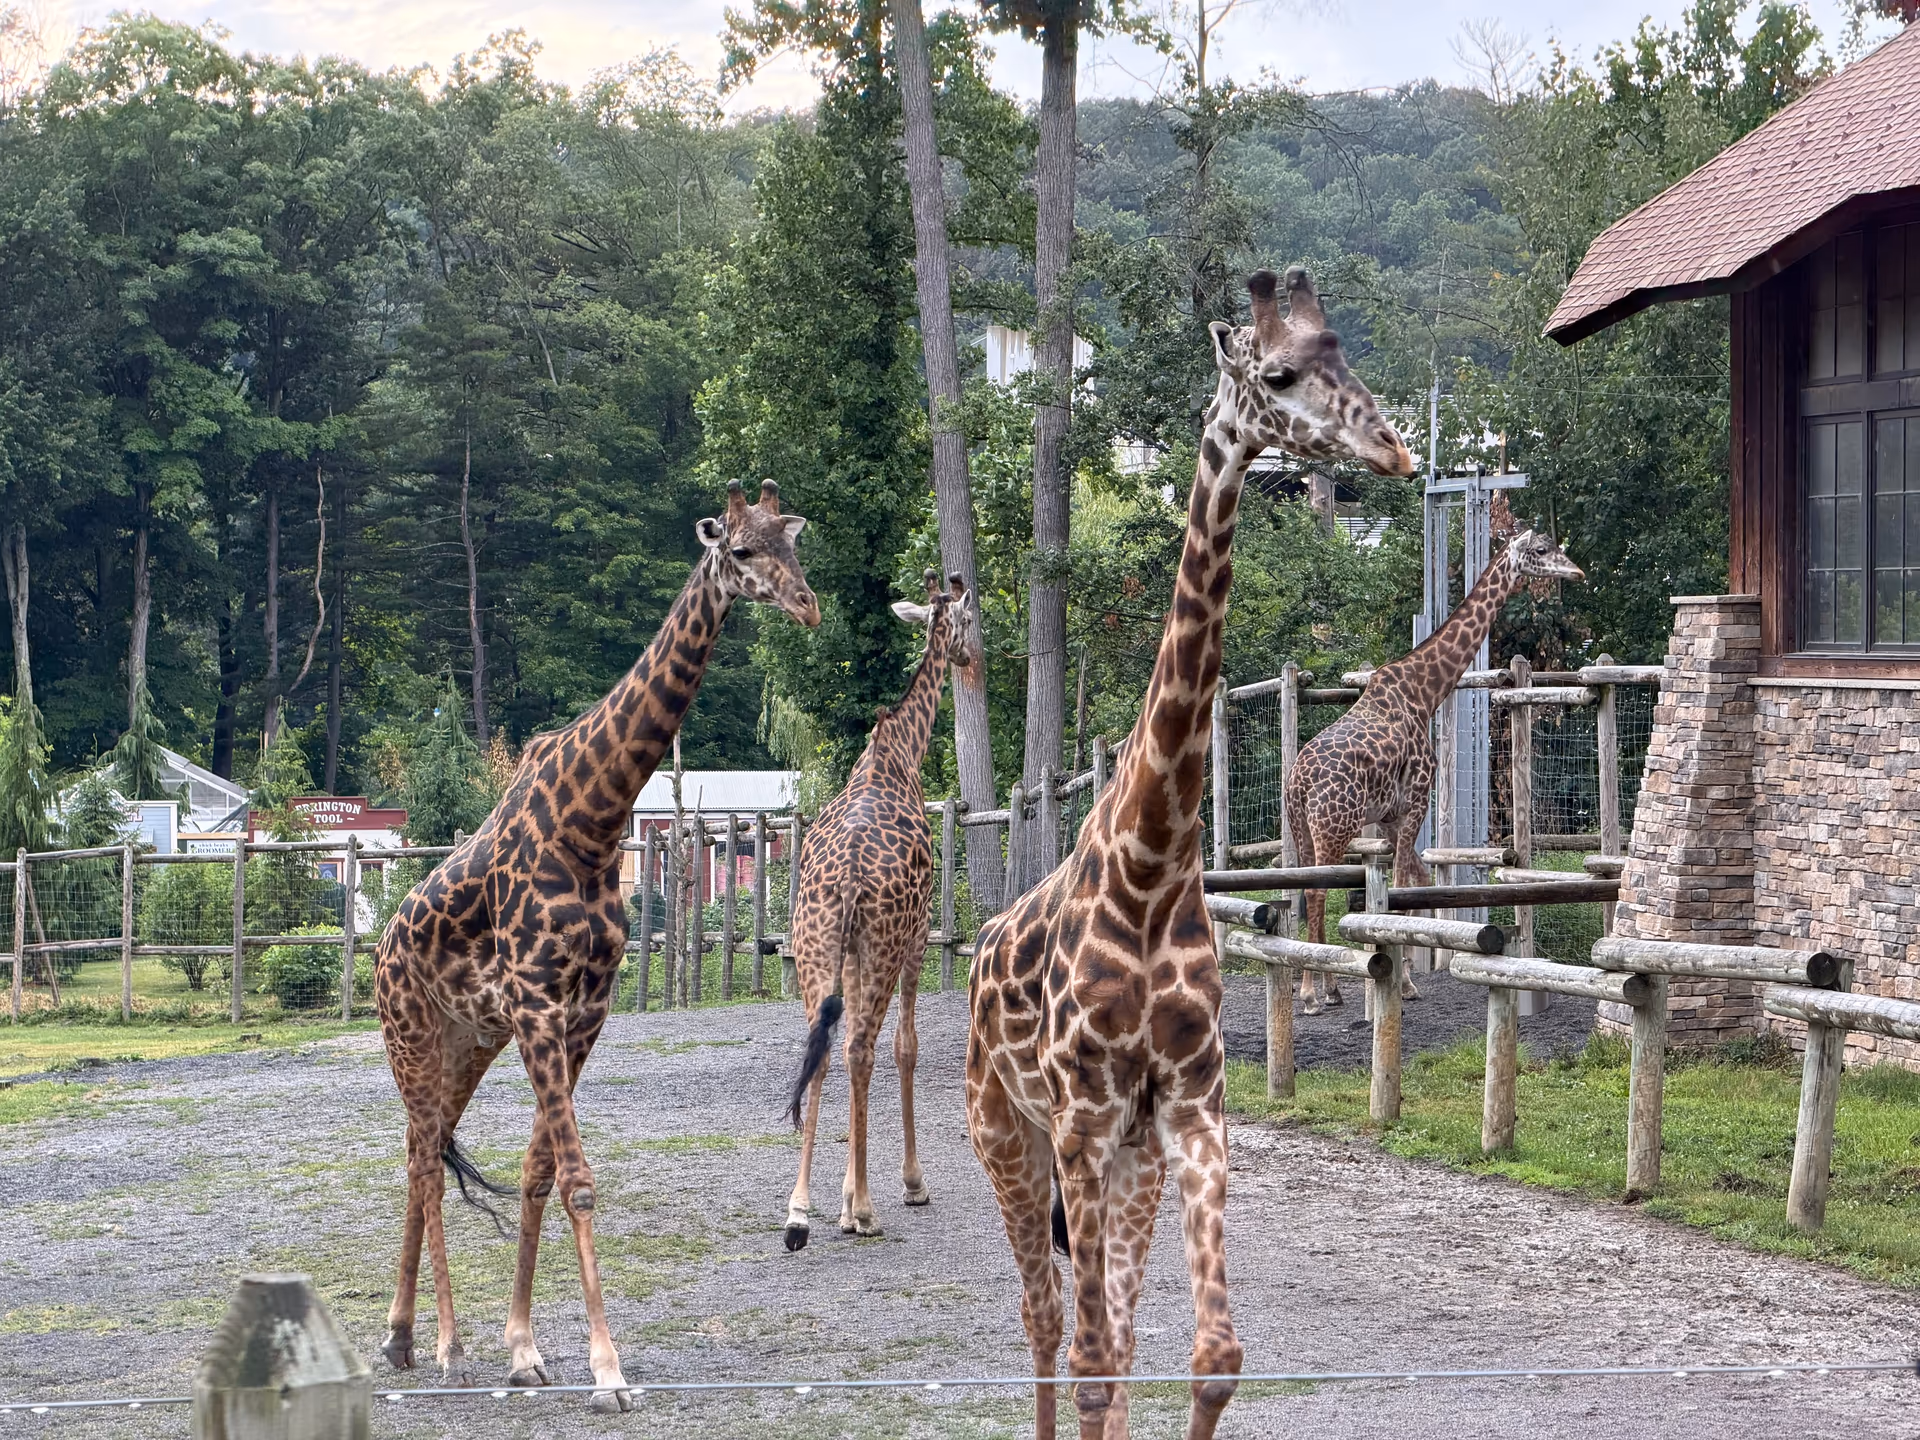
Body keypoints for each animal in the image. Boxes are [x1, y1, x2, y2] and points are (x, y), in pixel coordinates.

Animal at [372, 480, 818, 1412]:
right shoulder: (541, 1003)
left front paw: (526, 1350)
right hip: (410, 1037)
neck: (594, 821)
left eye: (794, 546)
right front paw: (606, 1370)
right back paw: (444, 1347)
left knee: (419, 1154)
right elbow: (577, 1181)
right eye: (742, 551)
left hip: (466, 1042)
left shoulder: (584, 1010)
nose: (808, 606)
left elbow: (539, 1172)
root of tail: (385, 942)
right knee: (426, 1162)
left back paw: (399, 1338)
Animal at [781, 570, 977, 1252]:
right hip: (885, 942)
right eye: (969, 621)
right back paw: (865, 1209)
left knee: (823, 1045)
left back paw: (798, 1213)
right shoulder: (918, 936)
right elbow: (905, 1047)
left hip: (813, 946)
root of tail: (846, 880)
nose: (974, 657)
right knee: (864, 1045)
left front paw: (836, 1199)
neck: (901, 753)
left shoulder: (846, 951)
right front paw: (908, 1184)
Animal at [966, 267, 1413, 1440]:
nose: (1394, 449)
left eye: (1345, 351)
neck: (1154, 859)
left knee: (1113, 1333)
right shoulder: (1079, 1117)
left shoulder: (1191, 1106)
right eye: (1281, 374)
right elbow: (1085, 1354)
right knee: (1045, 1323)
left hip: (1126, 1156)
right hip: (1004, 1131)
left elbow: (1211, 1355)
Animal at [1284, 528, 1583, 1012]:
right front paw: (1402, 981)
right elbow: (1403, 887)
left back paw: (1326, 987)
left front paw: (1406, 973)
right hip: (1334, 826)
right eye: (1541, 551)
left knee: (1307, 888)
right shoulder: (1418, 798)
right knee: (1315, 891)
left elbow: (1418, 883)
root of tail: (1299, 781)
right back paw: (1312, 992)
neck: (1423, 693)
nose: (1576, 572)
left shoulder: (1390, 816)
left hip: (1304, 827)